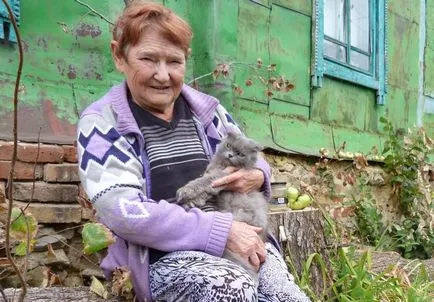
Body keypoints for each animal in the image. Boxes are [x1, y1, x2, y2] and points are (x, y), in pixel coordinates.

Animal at [176, 131, 268, 282]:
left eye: (240, 154)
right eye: (228, 145)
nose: (230, 155)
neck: (222, 165)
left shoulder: (219, 179)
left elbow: (201, 183)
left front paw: (186, 192)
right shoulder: (212, 179)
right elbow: (202, 192)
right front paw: (189, 201)